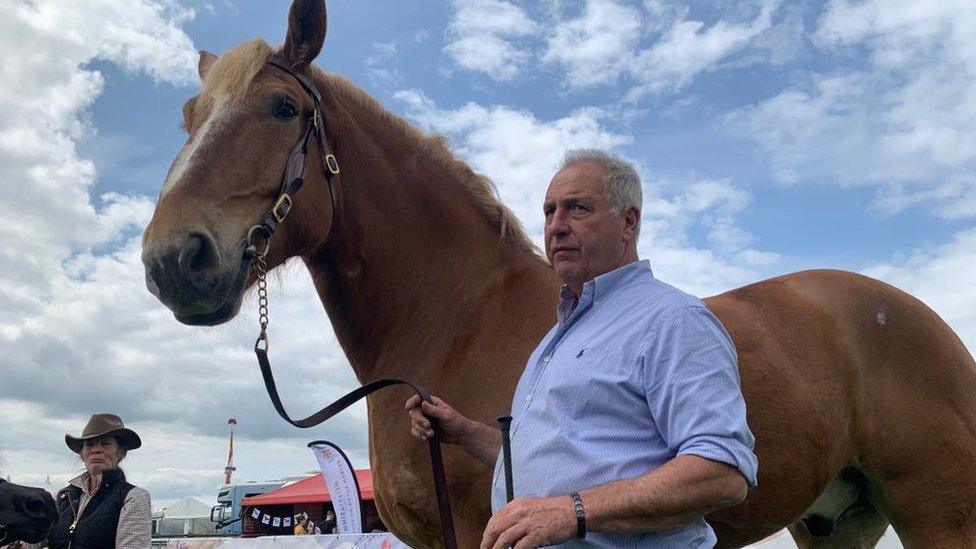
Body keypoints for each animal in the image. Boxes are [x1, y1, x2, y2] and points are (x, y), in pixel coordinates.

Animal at [139, 2, 976, 544]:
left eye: (283, 107)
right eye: (187, 118)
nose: (172, 259)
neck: (455, 317)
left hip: (936, 512)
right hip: (836, 521)